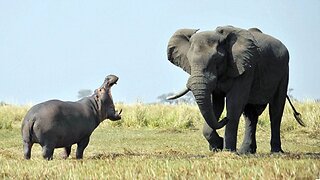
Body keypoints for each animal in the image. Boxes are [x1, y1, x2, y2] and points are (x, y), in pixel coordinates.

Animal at [166, 25, 304, 153]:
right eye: (189, 60)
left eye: (216, 59)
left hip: (284, 71)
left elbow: (234, 104)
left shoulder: (245, 67)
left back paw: (275, 152)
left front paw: (228, 151)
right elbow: (216, 105)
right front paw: (217, 146)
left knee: (276, 110)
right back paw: (246, 152)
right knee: (250, 114)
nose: (224, 119)